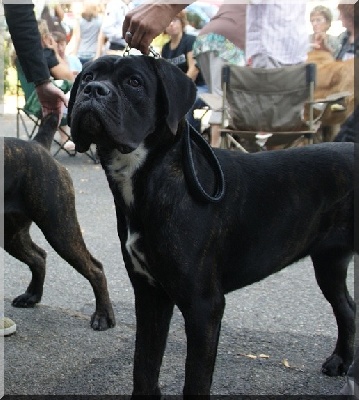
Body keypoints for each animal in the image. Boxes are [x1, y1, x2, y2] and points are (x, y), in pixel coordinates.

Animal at [4, 114, 116, 330]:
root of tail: (37, 144)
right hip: (12, 236)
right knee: (38, 257)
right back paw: (31, 296)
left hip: (60, 230)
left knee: (95, 268)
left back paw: (103, 316)